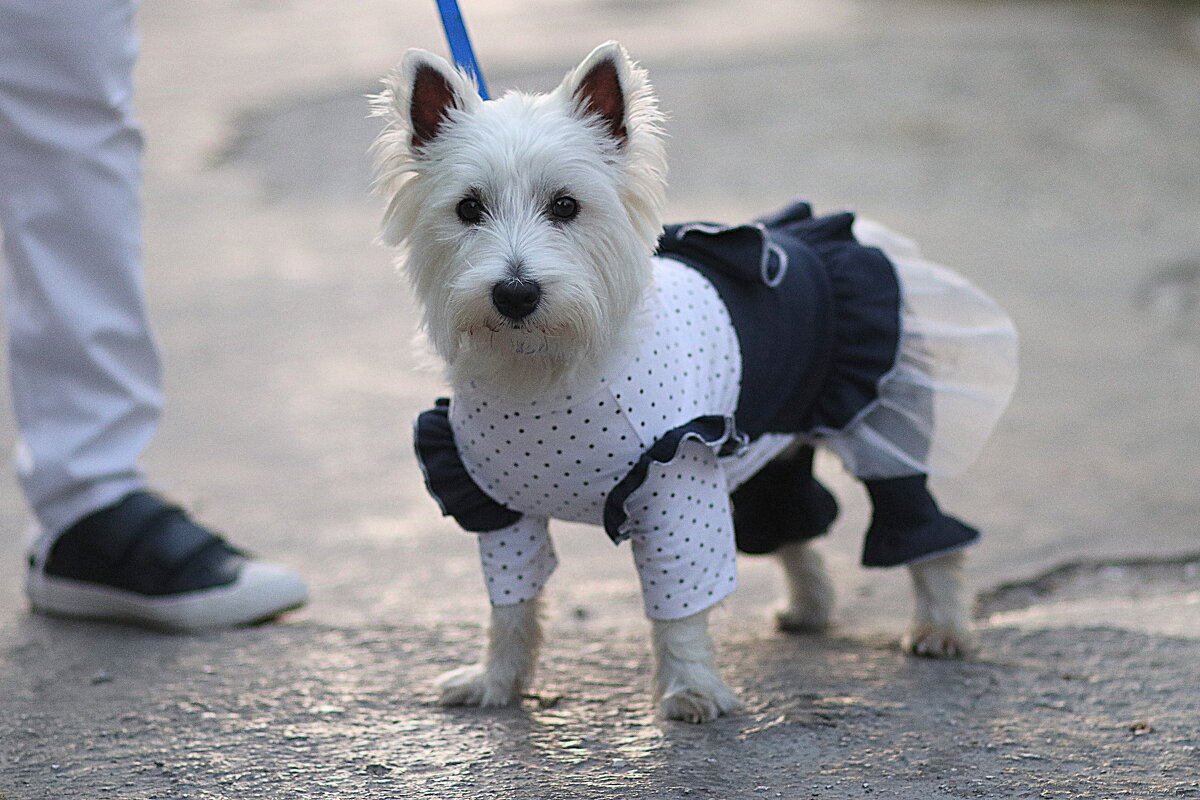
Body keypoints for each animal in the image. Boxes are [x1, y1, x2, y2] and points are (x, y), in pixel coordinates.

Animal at [369, 40, 1017, 724]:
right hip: (771, 445)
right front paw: (494, 681)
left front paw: (691, 690)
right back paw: (808, 609)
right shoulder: (493, 505)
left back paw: (941, 627)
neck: (546, 366)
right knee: (792, 518)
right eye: (468, 207)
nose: (515, 293)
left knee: (923, 525)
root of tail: (850, 236)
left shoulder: (676, 485)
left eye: (566, 205)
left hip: (882, 426)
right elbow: (511, 605)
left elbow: (679, 604)